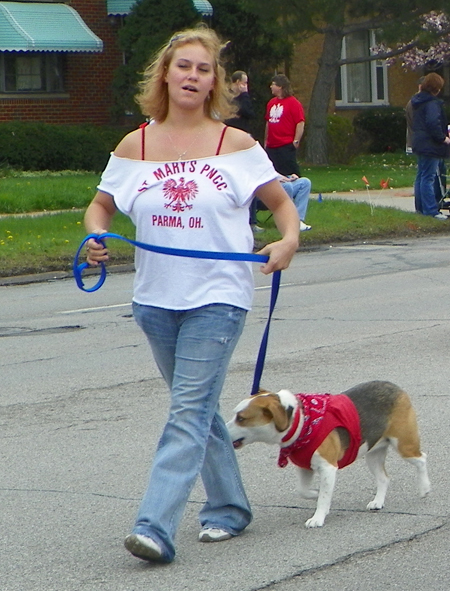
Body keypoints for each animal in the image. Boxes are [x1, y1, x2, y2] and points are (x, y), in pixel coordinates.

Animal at [227, 382, 430, 528]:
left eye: (241, 418)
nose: (223, 431)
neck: (302, 421)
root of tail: (394, 386)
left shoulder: (328, 468)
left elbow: (324, 497)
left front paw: (318, 517)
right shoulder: (304, 467)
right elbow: (303, 490)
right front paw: (315, 494)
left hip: (404, 445)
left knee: (422, 459)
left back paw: (424, 488)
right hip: (373, 455)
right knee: (384, 479)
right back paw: (378, 502)